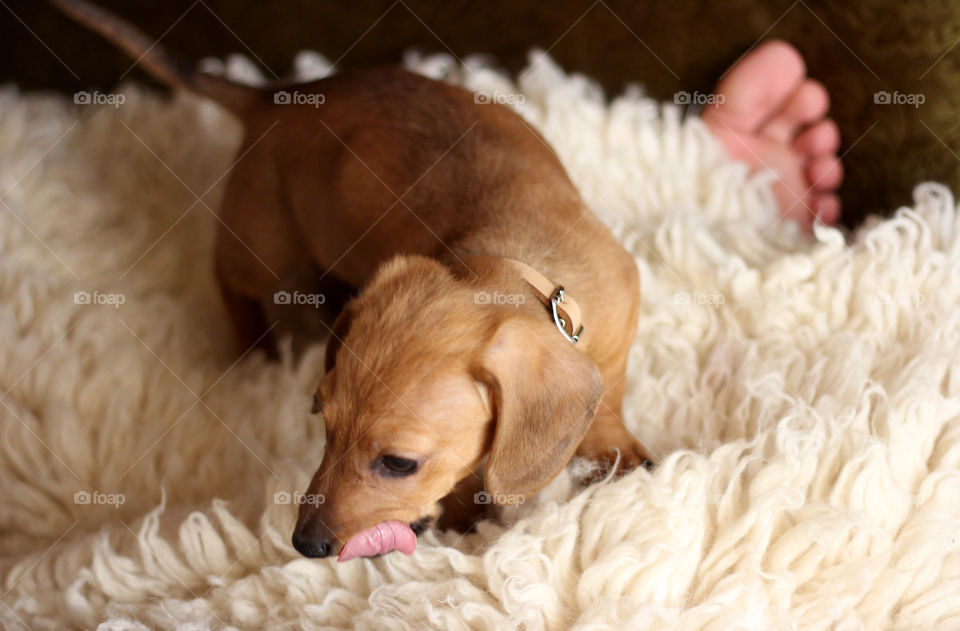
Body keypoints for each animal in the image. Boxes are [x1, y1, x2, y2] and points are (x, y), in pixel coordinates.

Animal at [56, 0, 656, 564]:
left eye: (397, 463)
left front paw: (619, 454)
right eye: (324, 423)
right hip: (262, 244)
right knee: (231, 283)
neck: (517, 260)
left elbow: (608, 397)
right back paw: (255, 352)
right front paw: (467, 518)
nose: (306, 544)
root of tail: (278, 94)